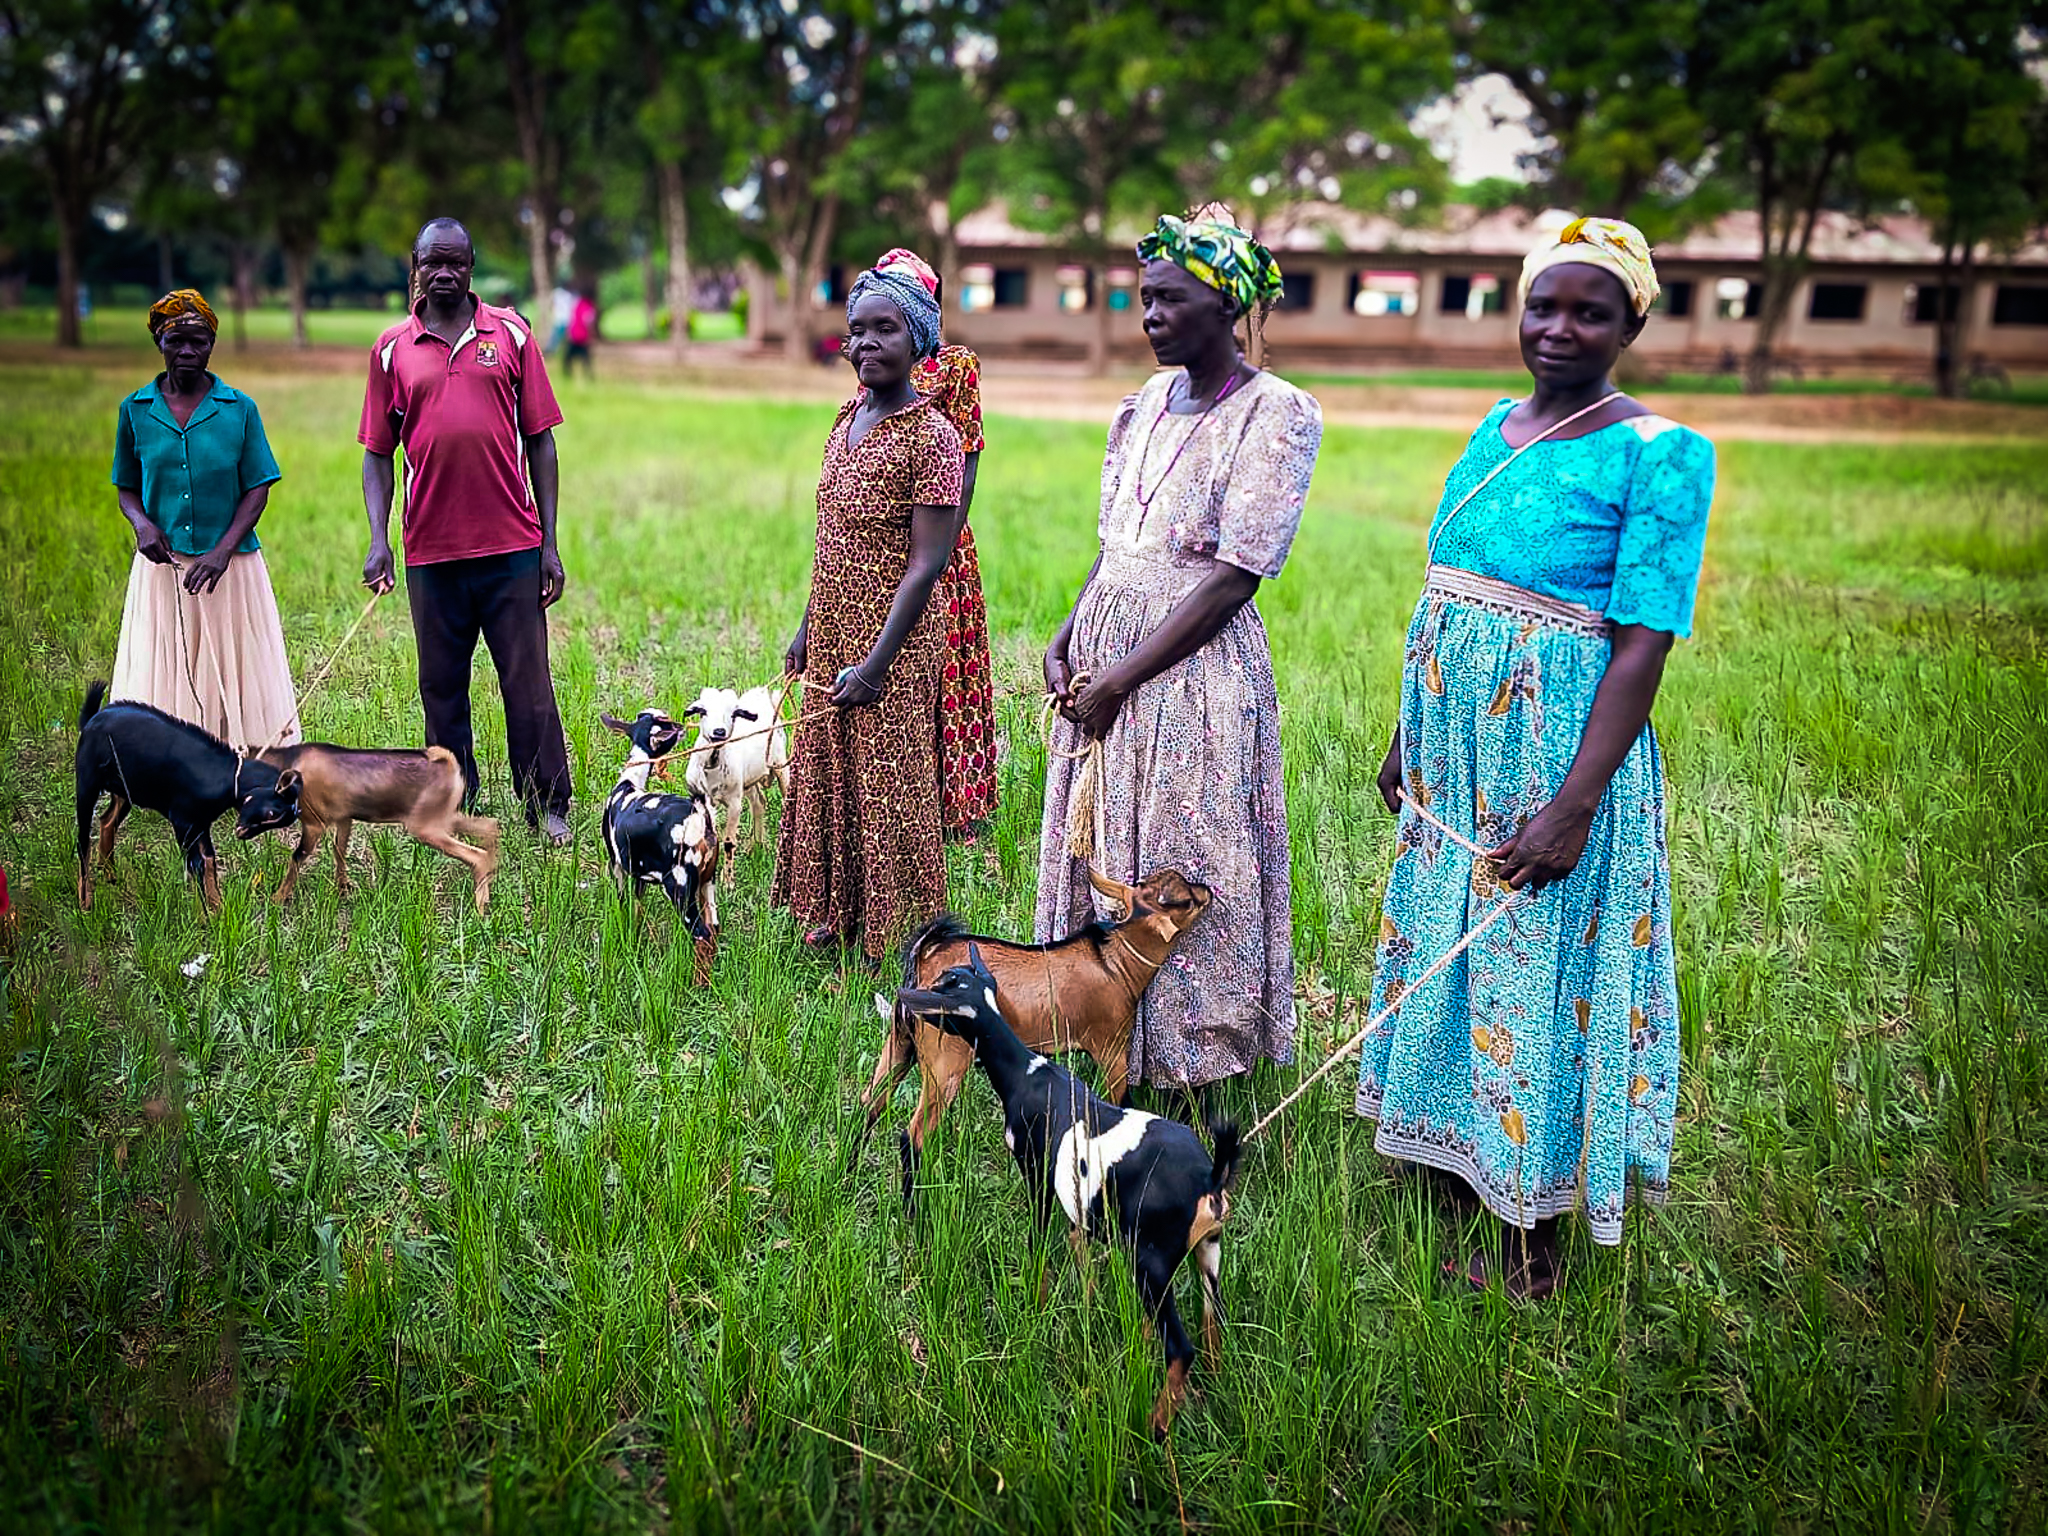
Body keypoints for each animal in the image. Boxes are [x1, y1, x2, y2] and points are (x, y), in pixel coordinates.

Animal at [74, 684, 299, 913]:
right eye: (272, 813)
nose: (242, 833)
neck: (226, 776)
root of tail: (91, 720)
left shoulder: (201, 823)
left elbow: (209, 860)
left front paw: (218, 908)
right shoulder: (182, 821)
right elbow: (196, 865)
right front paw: (204, 915)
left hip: (124, 790)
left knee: (107, 820)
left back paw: (109, 874)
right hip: (87, 783)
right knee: (83, 841)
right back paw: (85, 900)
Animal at [248, 745, 503, 913]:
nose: (240, 831)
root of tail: (446, 763)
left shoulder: (314, 824)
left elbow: (296, 857)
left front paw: (277, 898)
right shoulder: (345, 818)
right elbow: (339, 852)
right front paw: (343, 888)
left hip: (426, 827)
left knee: (477, 855)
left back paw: (480, 908)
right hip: (444, 817)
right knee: (491, 826)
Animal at [598, 712, 720, 987]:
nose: (682, 726)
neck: (629, 783)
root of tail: (700, 814)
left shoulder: (617, 865)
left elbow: (623, 902)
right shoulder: (639, 874)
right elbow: (637, 907)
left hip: (679, 886)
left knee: (701, 933)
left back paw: (699, 983)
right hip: (707, 882)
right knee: (714, 928)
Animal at [901, 946, 1245, 1441]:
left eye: (944, 988)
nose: (905, 997)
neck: (1026, 1074)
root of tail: (1209, 1178)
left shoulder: (1038, 1177)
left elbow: (1040, 1241)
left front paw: (1036, 1303)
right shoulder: (1080, 1204)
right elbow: (1078, 1249)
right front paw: (1084, 1306)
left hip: (1153, 1261)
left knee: (1181, 1347)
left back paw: (1157, 1426)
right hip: (1209, 1251)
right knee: (1210, 1319)